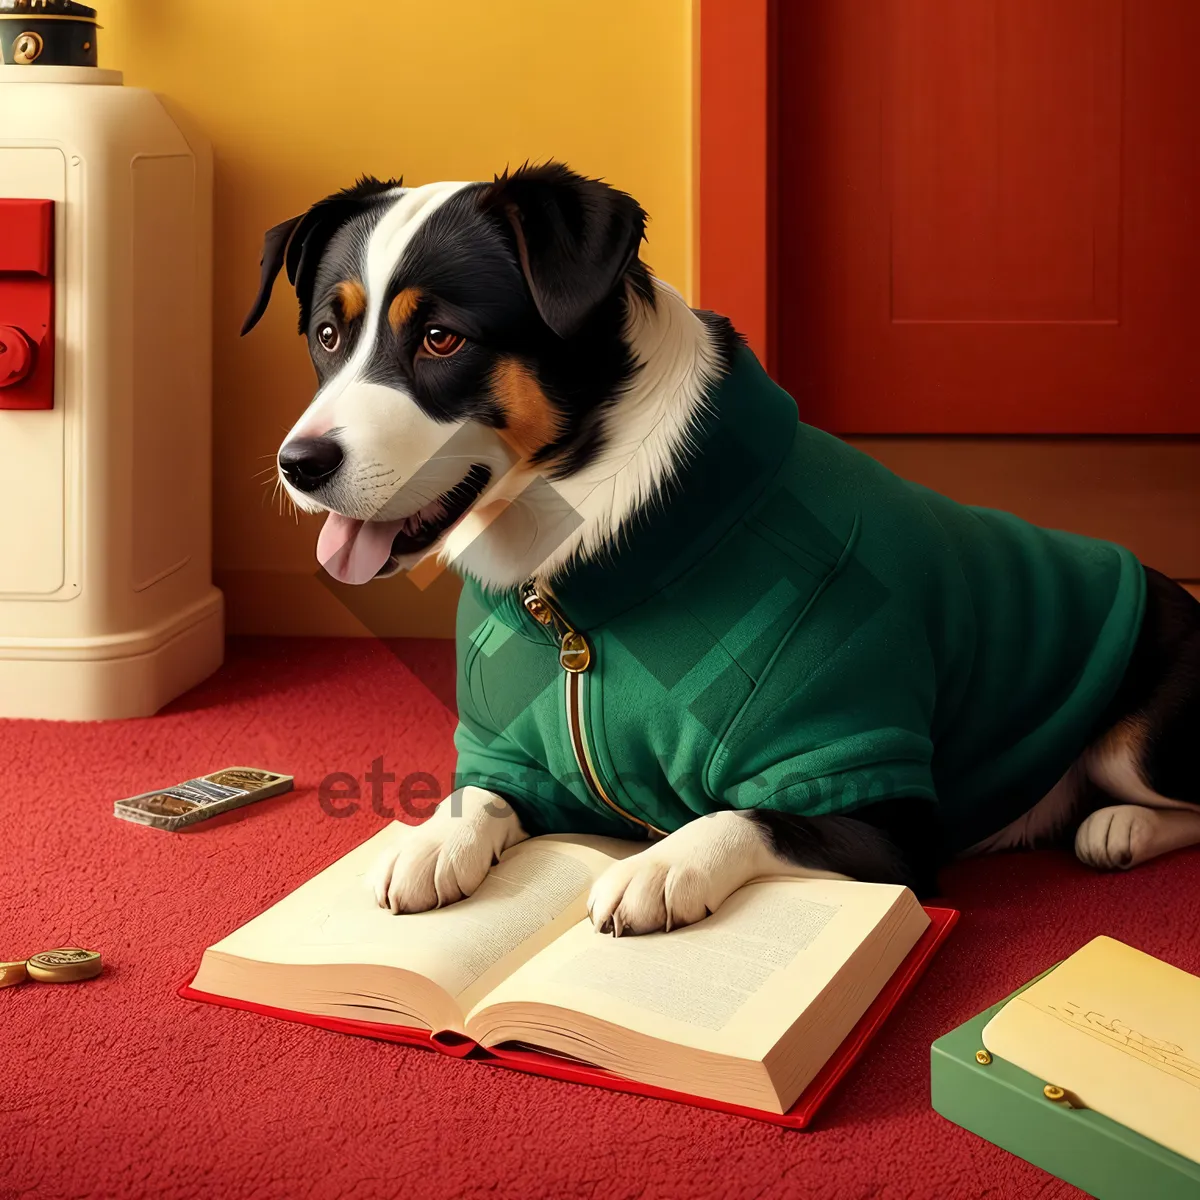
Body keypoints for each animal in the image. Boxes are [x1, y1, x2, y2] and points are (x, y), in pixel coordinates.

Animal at [243, 162, 1200, 936]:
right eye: (328, 336)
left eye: (442, 338)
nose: (300, 463)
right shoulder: (520, 758)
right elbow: (478, 795)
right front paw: (433, 840)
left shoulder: (872, 799)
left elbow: (743, 816)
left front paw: (659, 869)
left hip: (1140, 735)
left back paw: (1120, 826)